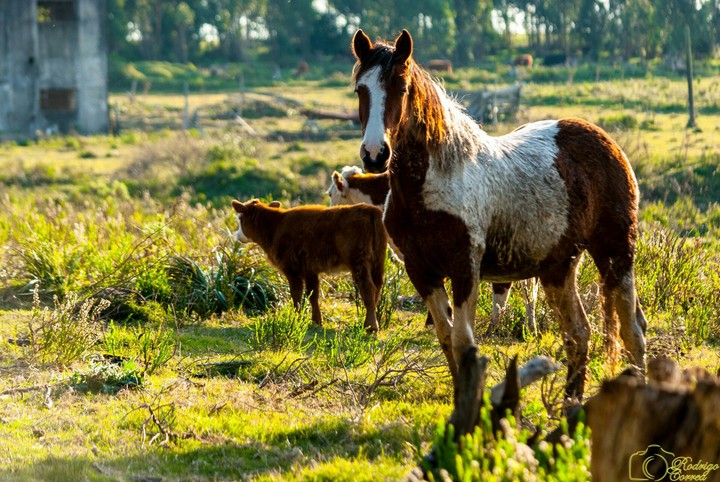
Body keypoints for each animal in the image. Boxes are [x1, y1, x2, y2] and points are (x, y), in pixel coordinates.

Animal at [349, 28, 647, 402]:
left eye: (401, 89)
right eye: (360, 90)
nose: (375, 154)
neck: (434, 183)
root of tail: (607, 142)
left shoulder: (465, 268)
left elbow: (464, 342)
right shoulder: (422, 272)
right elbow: (447, 338)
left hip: (615, 254)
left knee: (632, 331)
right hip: (559, 269)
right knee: (579, 332)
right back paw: (570, 405)